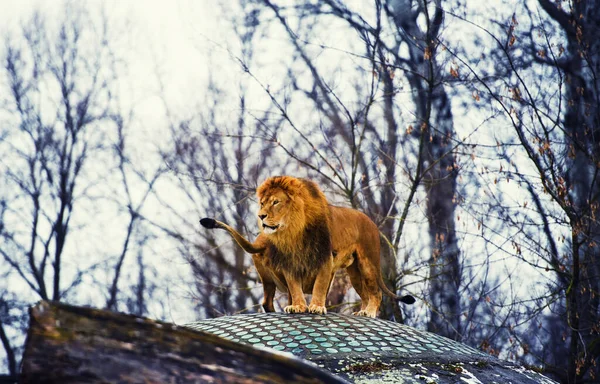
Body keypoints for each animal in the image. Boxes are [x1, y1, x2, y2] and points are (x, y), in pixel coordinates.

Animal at [199, 176, 414, 316]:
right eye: (261, 203)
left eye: (275, 202)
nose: (260, 216)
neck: (293, 232)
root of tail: (371, 222)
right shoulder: (289, 264)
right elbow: (295, 288)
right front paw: (297, 307)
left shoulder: (325, 259)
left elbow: (319, 285)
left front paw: (316, 307)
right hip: (352, 272)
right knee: (365, 294)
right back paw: (362, 311)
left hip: (367, 263)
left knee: (376, 293)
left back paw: (369, 312)